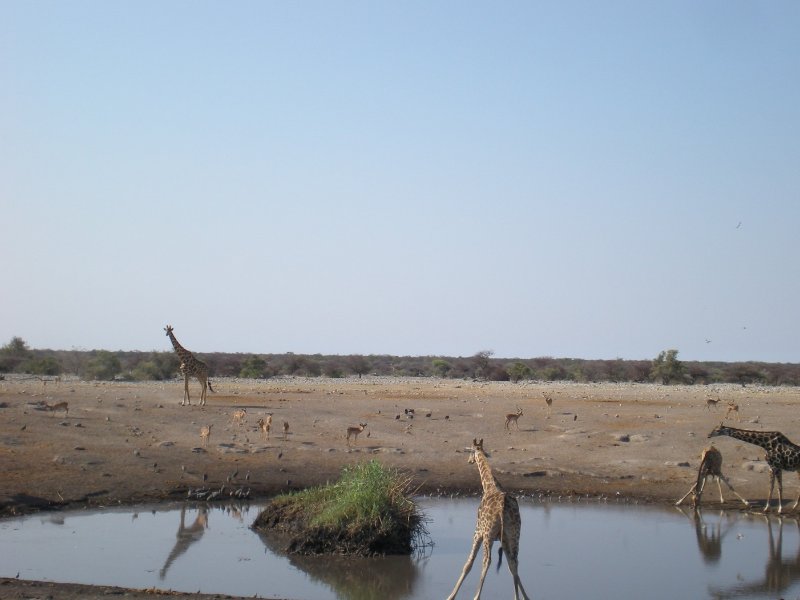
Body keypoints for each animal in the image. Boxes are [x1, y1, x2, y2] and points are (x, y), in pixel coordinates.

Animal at [444, 436, 532, 600]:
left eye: (470, 451)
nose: (469, 461)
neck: (489, 486)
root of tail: (503, 508)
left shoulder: (478, 531)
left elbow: (468, 564)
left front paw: (451, 596)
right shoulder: (504, 539)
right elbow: (510, 566)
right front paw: (524, 596)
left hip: (488, 535)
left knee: (487, 561)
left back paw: (476, 597)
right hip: (514, 534)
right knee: (514, 562)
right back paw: (517, 597)